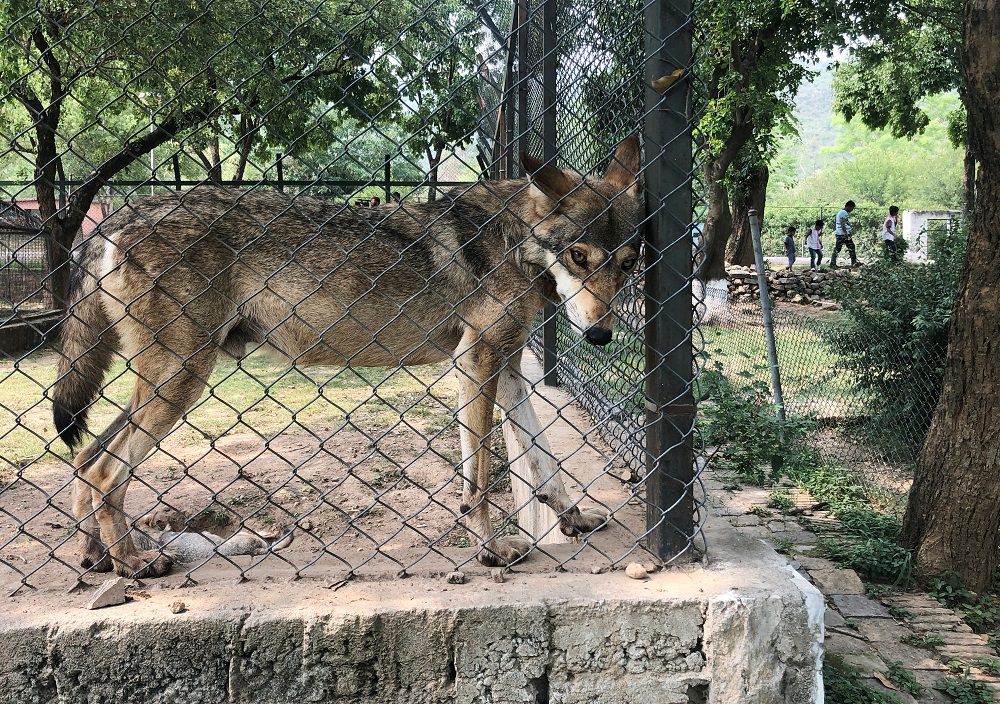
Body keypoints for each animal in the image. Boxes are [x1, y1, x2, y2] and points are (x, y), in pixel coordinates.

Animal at [52, 136, 642, 578]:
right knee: (104, 470)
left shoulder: (509, 365)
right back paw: (133, 563)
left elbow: (545, 461)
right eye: (579, 256)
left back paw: (98, 558)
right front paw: (491, 550)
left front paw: (573, 518)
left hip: (164, 382)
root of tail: (120, 215)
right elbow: (476, 480)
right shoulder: (475, 362)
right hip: (181, 378)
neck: (515, 240)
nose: (600, 336)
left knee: (85, 460)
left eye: (628, 264)